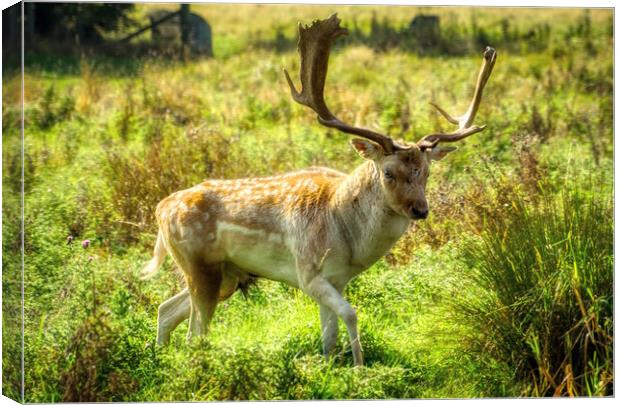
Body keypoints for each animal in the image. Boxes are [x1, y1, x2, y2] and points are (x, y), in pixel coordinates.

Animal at [143, 14, 496, 366]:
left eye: (425, 172)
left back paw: (159, 359)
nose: (420, 210)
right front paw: (359, 366)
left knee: (166, 309)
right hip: (199, 264)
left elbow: (329, 338)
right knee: (194, 333)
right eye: (388, 172)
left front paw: (332, 366)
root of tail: (160, 209)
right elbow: (351, 314)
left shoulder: (338, 278)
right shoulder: (307, 273)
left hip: (226, 274)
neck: (347, 238)